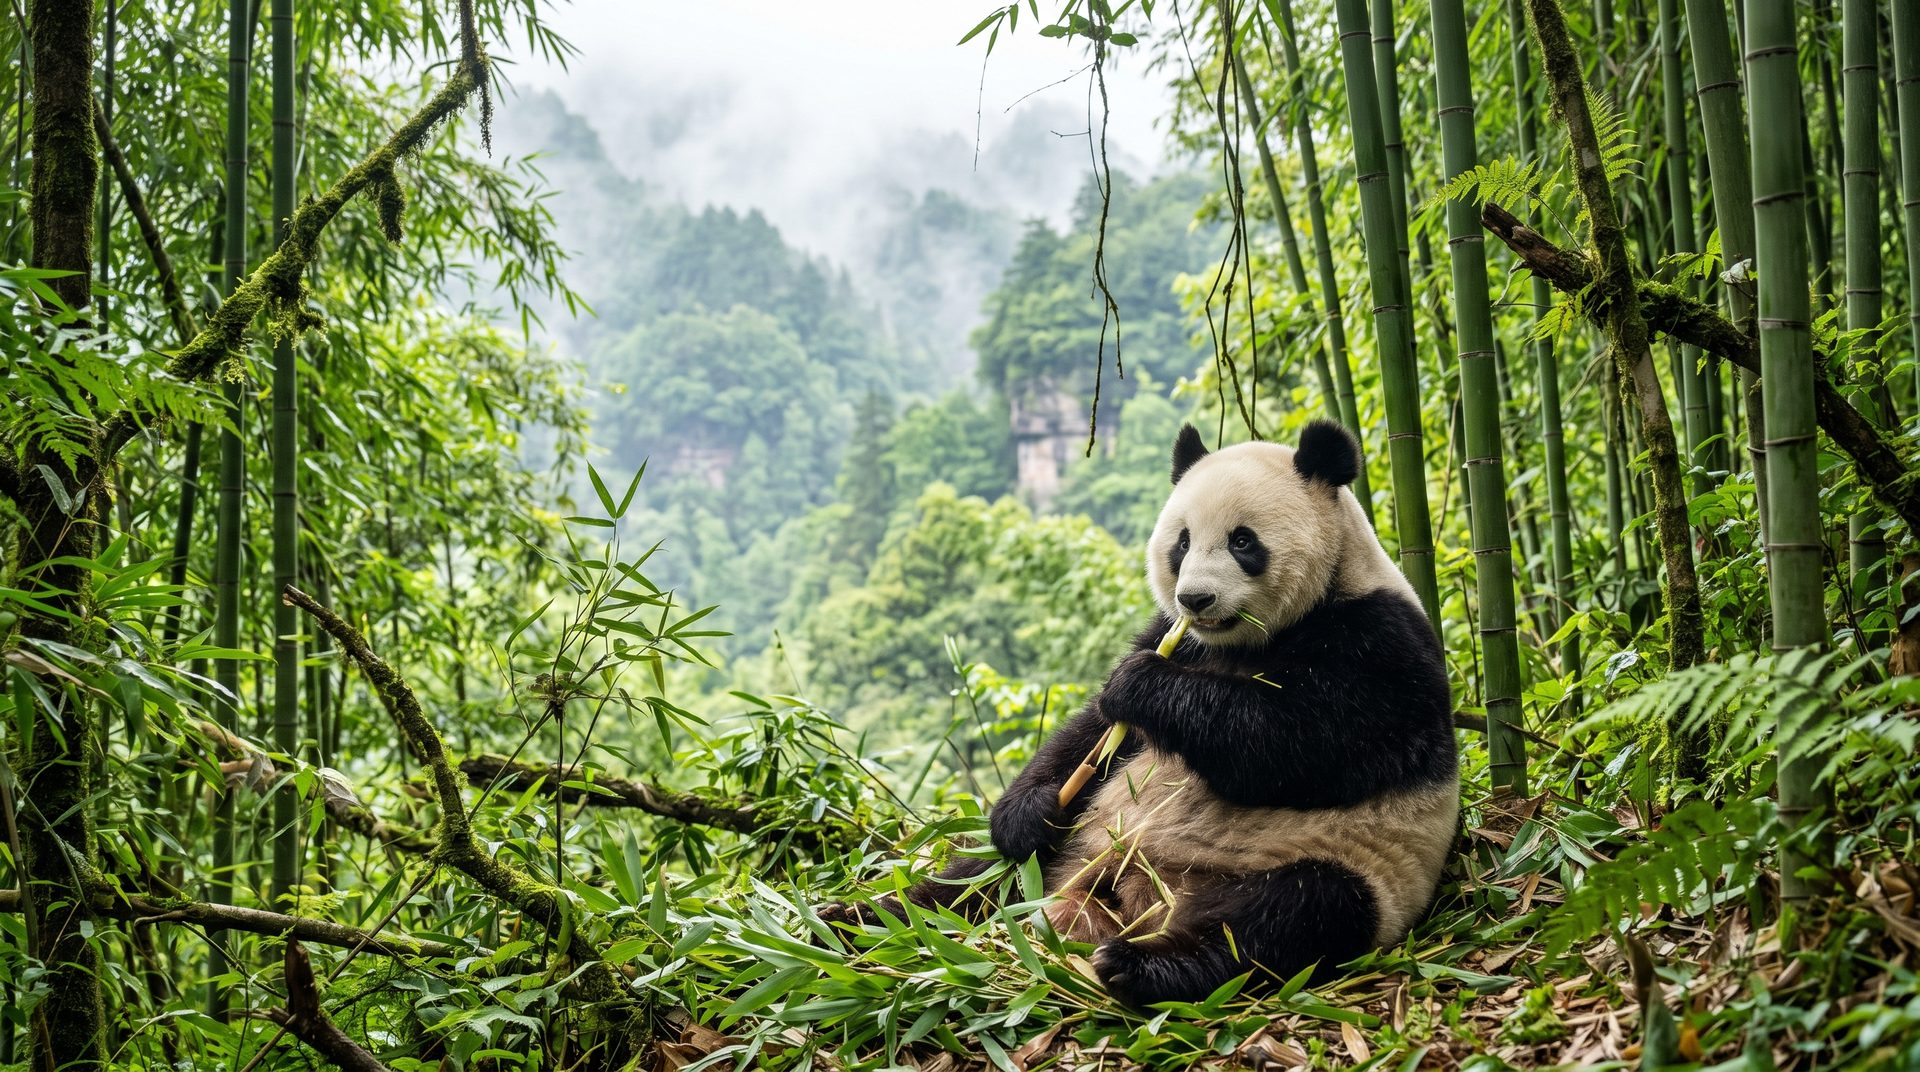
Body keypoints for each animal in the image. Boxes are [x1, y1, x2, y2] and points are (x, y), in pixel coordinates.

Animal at [825, 420, 1458, 1007]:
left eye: (1243, 541)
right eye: (1181, 542)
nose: (1195, 598)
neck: (1248, 639)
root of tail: (1134, 897)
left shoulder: (1381, 646)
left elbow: (1301, 745)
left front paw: (1144, 687)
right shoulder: (1172, 634)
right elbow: (1094, 736)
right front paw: (1030, 810)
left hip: (1344, 867)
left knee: (1285, 917)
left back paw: (1142, 966)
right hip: (1073, 849)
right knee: (970, 883)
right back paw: (858, 922)